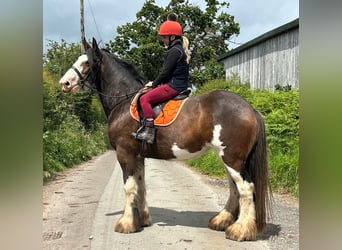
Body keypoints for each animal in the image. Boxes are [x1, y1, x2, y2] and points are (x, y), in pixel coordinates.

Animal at [59, 38, 272, 241]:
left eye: (87, 62)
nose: (64, 83)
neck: (124, 101)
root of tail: (249, 108)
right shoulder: (138, 155)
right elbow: (141, 184)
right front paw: (142, 220)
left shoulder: (125, 152)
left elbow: (129, 187)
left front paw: (126, 223)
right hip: (230, 159)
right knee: (235, 188)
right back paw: (222, 221)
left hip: (232, 158)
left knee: (245, 188)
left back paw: (240, 230)